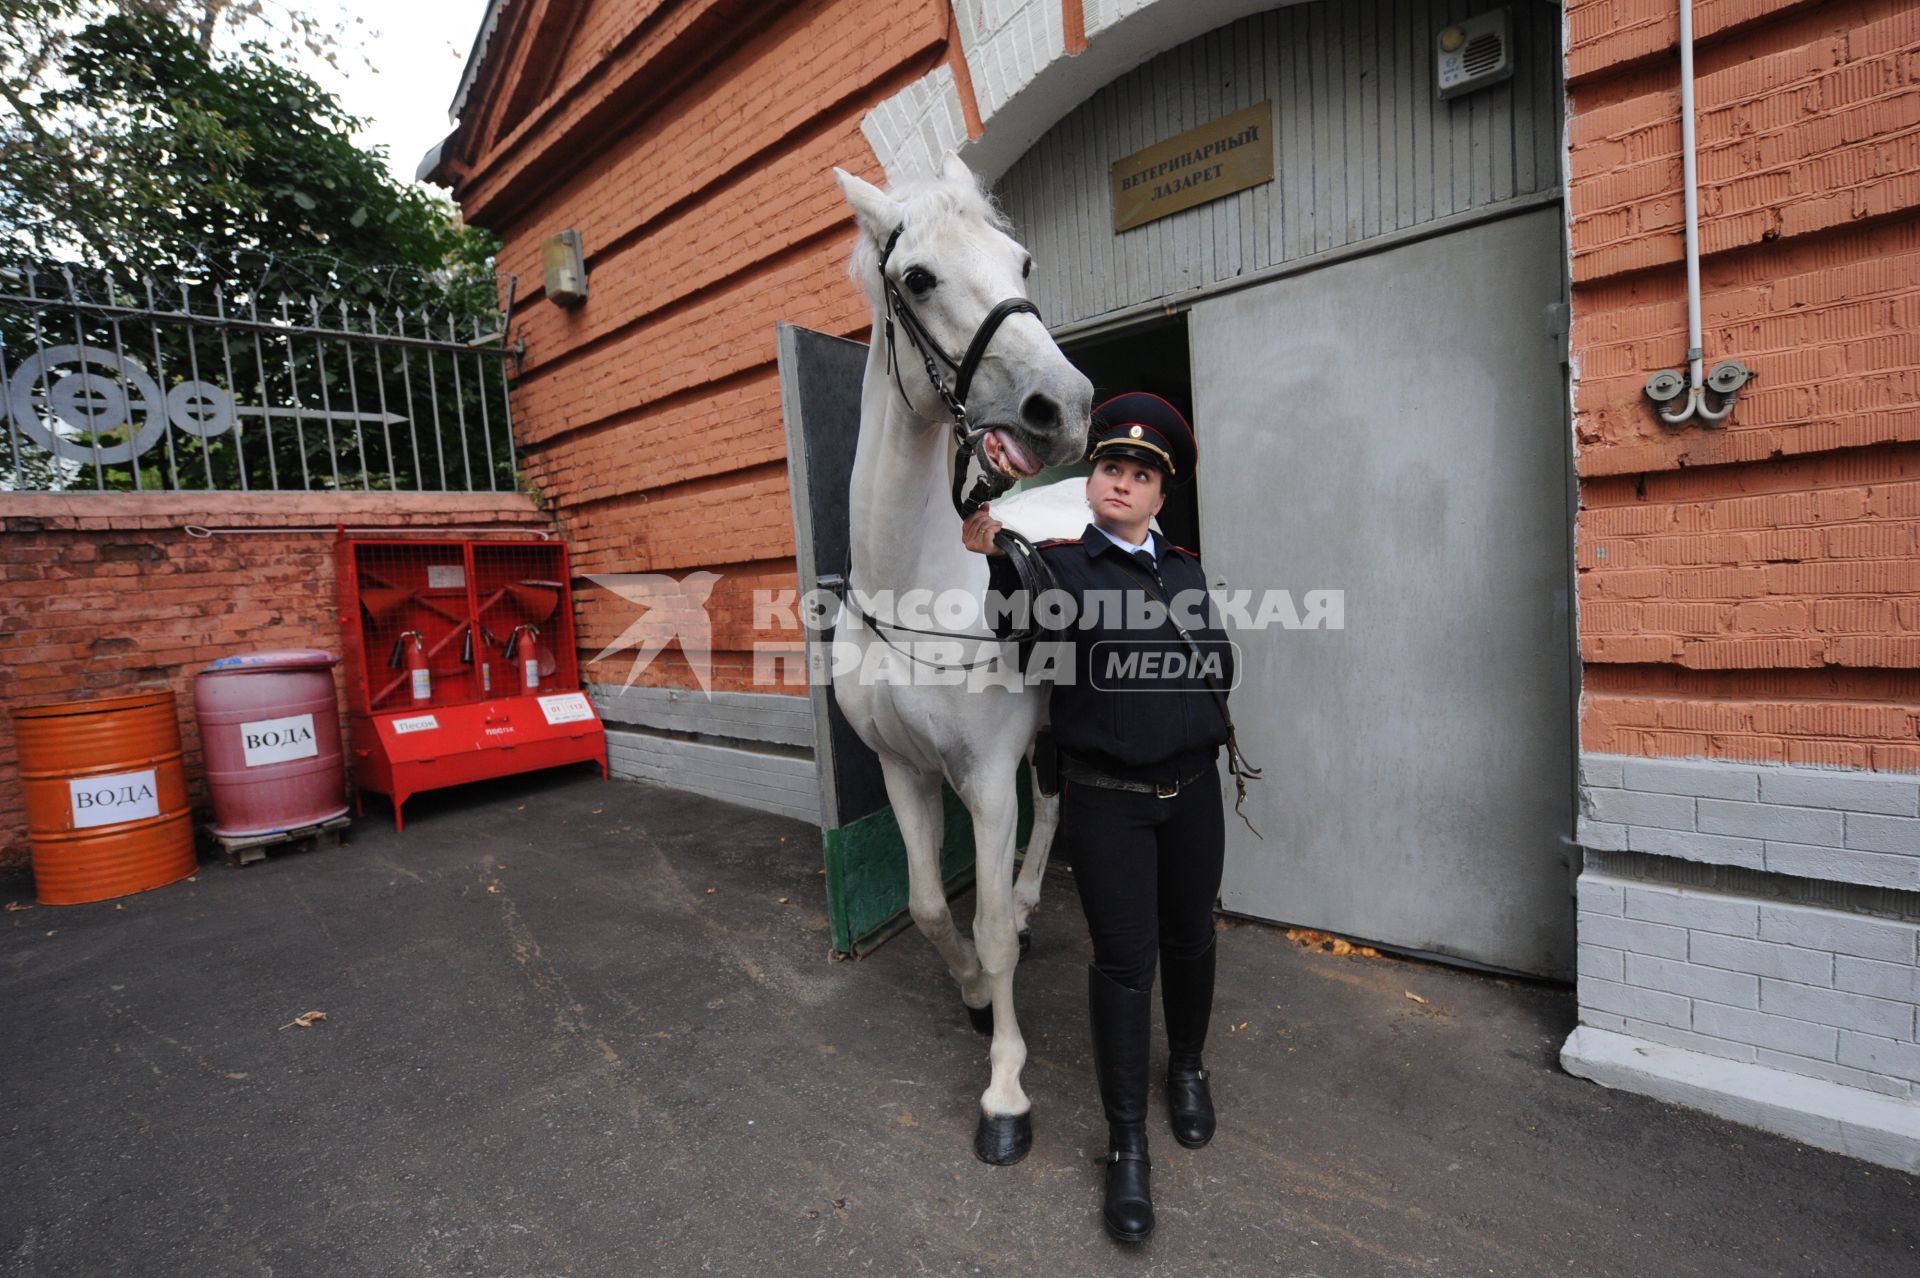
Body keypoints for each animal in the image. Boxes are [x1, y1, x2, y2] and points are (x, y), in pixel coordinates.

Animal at [829, 154, 1098, 1159]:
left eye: (1020, 261)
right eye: (917, 278)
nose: (1065, 408)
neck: (916, 593)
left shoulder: (982, 780)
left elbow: (981, 925)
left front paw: (1006, 1088)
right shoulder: (904, 769)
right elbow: (930, 906)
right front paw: (978, 997)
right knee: (1052, 799)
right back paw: (1026, 899)